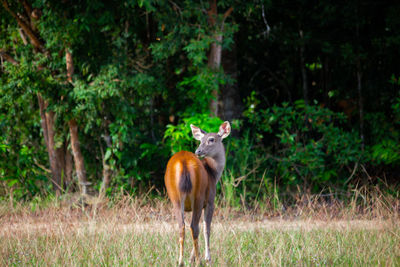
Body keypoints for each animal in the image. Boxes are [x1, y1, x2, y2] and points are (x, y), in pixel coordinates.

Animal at [163, 121, 231, 266]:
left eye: (211, 139)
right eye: (201, 140)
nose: (198, 151)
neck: (213, 174)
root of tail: (183, 162)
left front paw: (191, 258)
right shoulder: (210, 201)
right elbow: (207, 228)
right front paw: (207, 258)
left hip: (175, 197)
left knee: (182, 226)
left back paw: (181, 261)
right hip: (198, 196)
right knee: (194, 227)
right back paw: (199, 261)